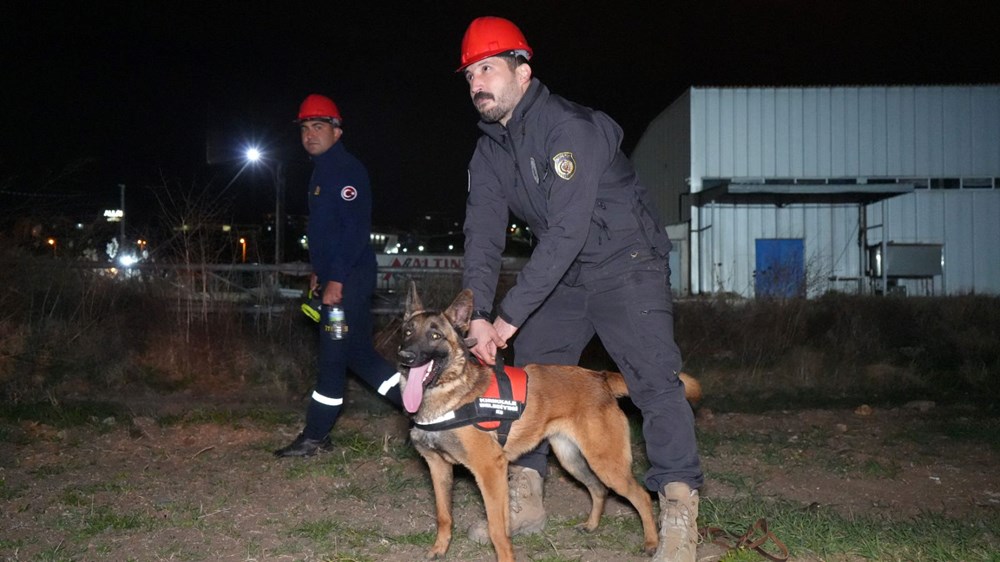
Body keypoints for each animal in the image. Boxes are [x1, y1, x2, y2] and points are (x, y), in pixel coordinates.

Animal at [394, 284, 700, 560]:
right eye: (407, 332)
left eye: (435, 335)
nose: (405, 356)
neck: (447, 393)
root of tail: (600, 377)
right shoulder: (437, 467)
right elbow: (444, 516)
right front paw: (439, 550)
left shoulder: (490, 469)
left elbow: (497, 530)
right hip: (572, 459)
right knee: (598, 489)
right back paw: (592, 525)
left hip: (607, 463)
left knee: (642, 496)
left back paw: (652, 542)